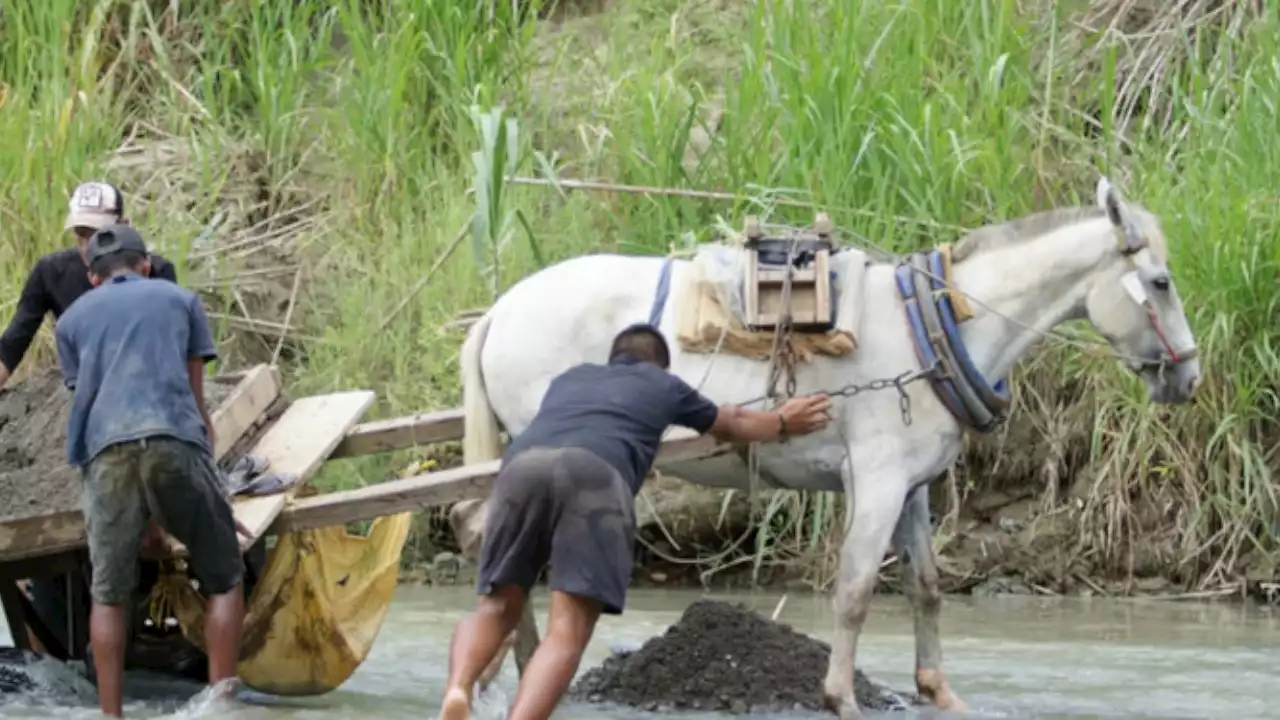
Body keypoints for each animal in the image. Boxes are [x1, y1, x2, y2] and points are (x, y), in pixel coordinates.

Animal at [448, 175, 1198, 717]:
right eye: (1160, 282)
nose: (1188, 375)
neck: (937, 327)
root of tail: (502, 308)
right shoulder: (877, 479)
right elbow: (856, 589)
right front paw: (840, 698)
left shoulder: (912, 484)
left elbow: (926, 587)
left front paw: (938, 692)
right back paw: (521, 669)